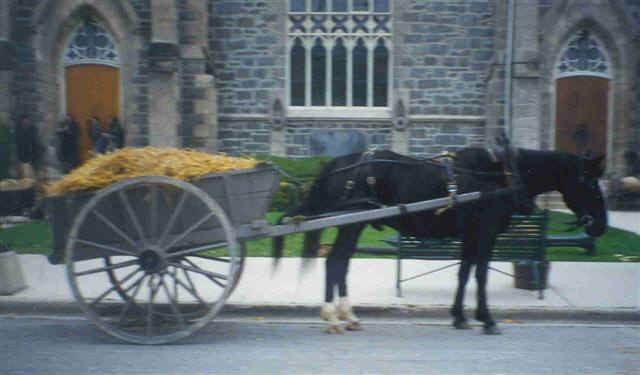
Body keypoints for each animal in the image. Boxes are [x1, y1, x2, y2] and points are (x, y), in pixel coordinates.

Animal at [272, 147, 608, 334]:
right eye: (591, 181)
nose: (601, 225)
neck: (500, 178)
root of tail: (341, 162)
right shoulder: (485, 234)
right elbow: (480, 275)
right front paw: (487, 319)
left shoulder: (471, 235)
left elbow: (464, 274)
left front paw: (459, 316)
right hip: (351, 224)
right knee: (334, 263)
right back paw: (333, 318)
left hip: (351, 224)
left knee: (341, 264)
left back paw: (348, 316)